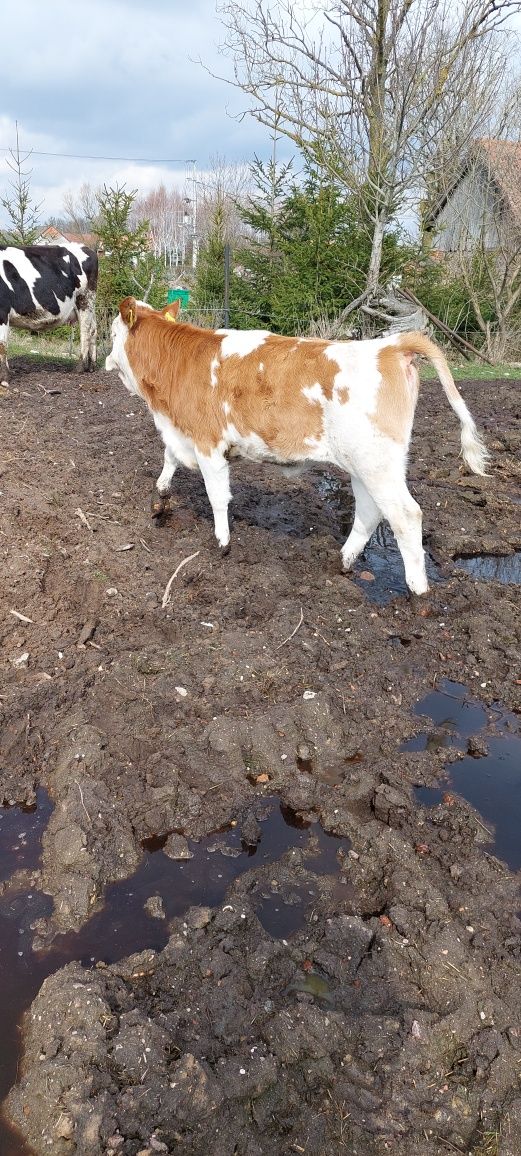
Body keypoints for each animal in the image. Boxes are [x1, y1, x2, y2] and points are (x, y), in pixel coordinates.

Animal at [0, 243, 98, 388]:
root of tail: (85, 247)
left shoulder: (2, 312)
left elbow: (2, 346)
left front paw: (4, 379)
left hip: (84, 299)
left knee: (85, 330)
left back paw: (80, 367)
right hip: (89, 305)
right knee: (94, 329)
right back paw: (92, 366)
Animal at [106, 298, 489, 596]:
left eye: (111, 334)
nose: (106, 362)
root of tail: (390, 345)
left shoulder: (207, 440)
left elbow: (217, 496)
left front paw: (222, 542)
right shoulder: (183, 434)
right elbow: (169, 458)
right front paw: (160, 497)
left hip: (377, 463)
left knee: (406, 516)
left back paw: (418, 592)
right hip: (365, 464)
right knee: (369, 512)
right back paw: (344, 561)